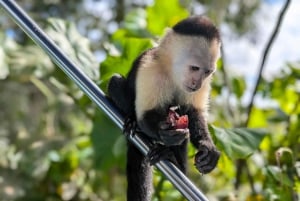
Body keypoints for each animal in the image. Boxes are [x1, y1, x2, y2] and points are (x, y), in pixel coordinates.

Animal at [107, 14, 220, 200]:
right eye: (194, 68)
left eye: (207, 72)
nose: (196, 84)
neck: (173, 72)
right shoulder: (150, 69)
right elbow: (145, 116)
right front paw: (165, 132)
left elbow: (193, 113)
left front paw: (208, 148)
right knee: (115, 82)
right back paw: (133, 122)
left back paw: (176, 161)